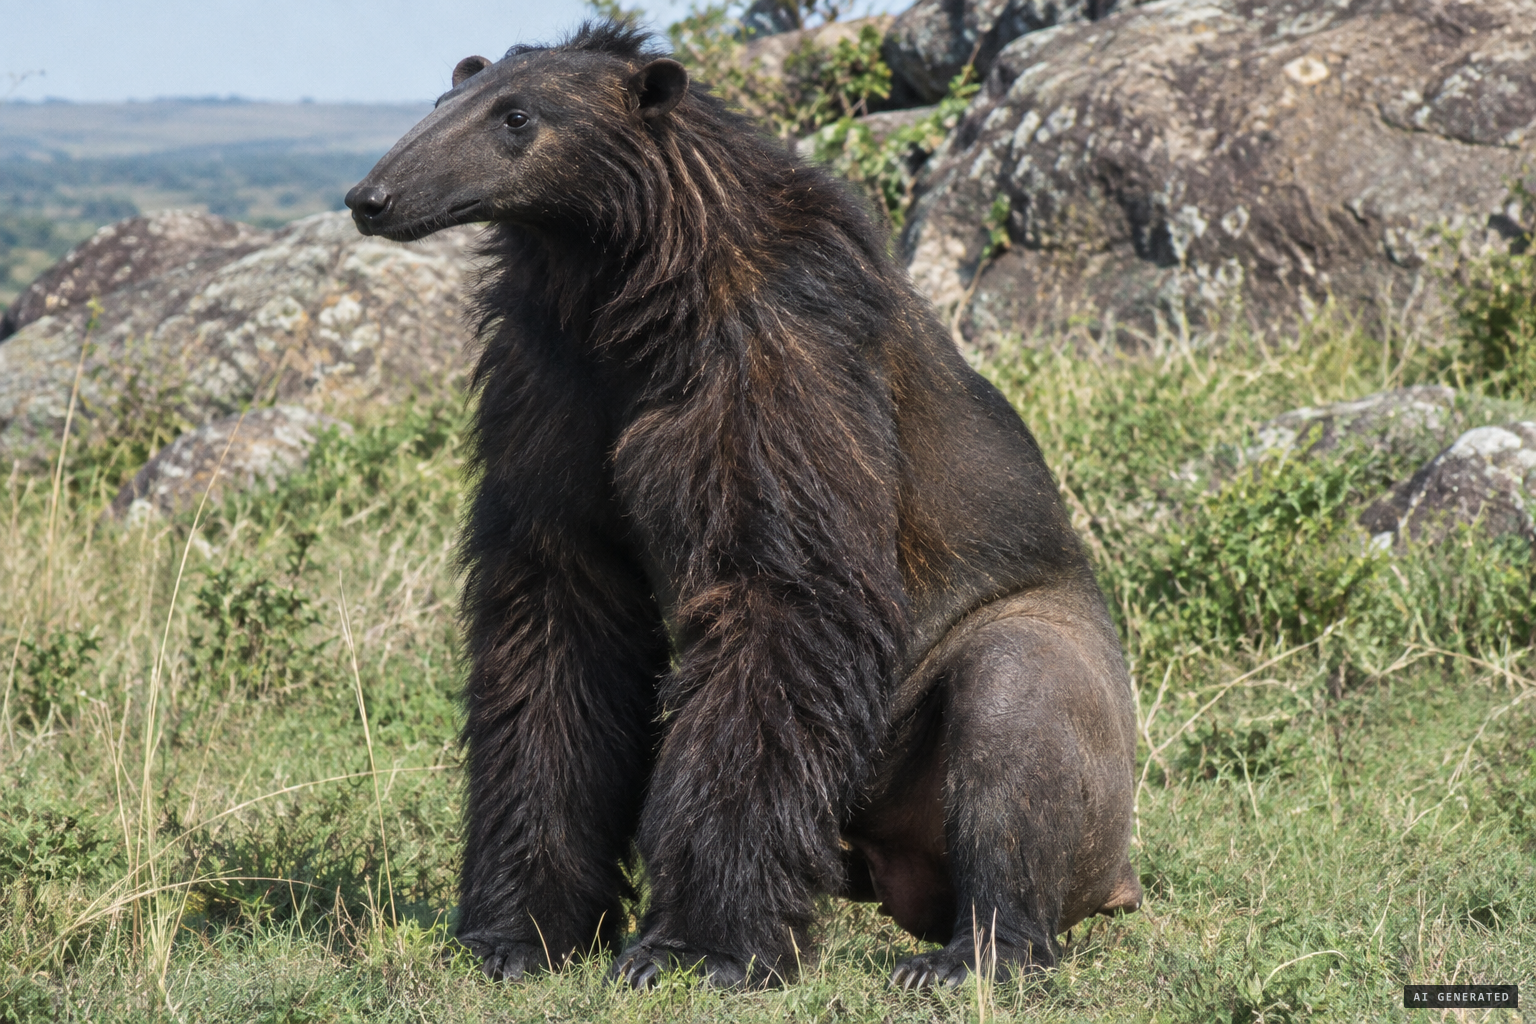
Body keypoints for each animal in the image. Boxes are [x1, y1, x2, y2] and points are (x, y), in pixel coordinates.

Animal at [345, 20, 1141, 991]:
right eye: (447, 98)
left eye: (518, 115)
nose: (372, 196)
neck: (620, 291)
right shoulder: (548, 388)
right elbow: (555, 626)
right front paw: (519, 930)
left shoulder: (777, 368)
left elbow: (779, 601)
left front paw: (697, 944)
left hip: (1046, 683)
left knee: (1015, 707)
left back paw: (968, 955)